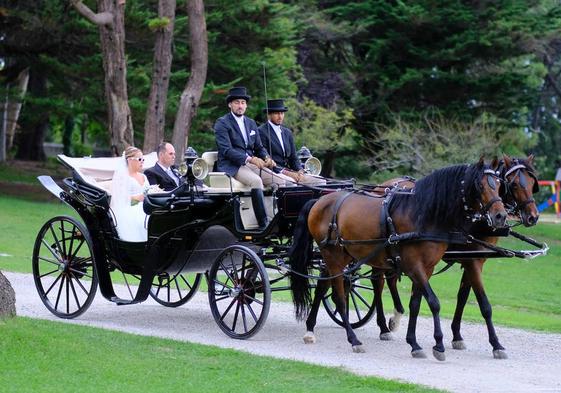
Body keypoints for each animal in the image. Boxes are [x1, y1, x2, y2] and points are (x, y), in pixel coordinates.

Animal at [290, 158, 506, 360]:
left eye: (499, 183)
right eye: (480, 185)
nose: (500, 216)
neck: (423, 215)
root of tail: (319, 201)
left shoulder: (427, 268)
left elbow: (416, 304)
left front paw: (414, 343)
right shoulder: (415, 266)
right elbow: (434, 302)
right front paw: (438, 345)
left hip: (340, 257)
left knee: (325, 287)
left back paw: (311, 329)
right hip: (333, 258)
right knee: (340, 297)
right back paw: (353, 339)